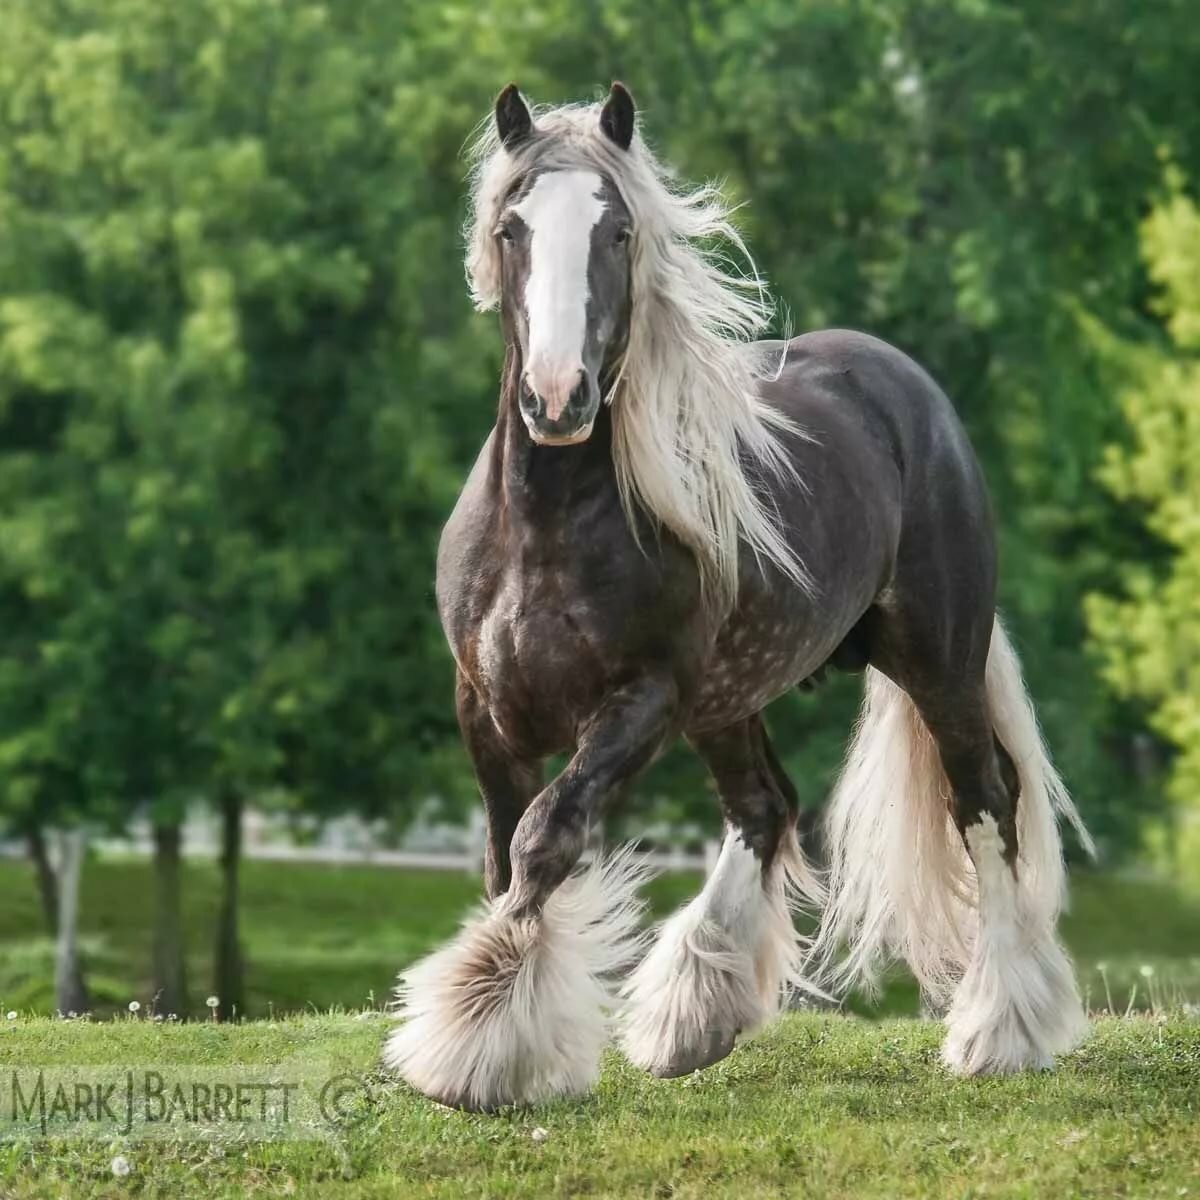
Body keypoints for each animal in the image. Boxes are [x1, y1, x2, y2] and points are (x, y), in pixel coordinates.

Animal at [383, 82, 1094, 1111]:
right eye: (513, 228)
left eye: (619, 231)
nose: (559, 399)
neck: (548, 525)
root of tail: (907, 386)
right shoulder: (484, 708)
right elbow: (502, 850)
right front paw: (496, 1030)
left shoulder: (642, 701)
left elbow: (546, 838)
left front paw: (475, 1040)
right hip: (731, 697)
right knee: (765, 806)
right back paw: (692, 1018)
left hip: (937, 661)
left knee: (983, 799)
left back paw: (999, 1030)